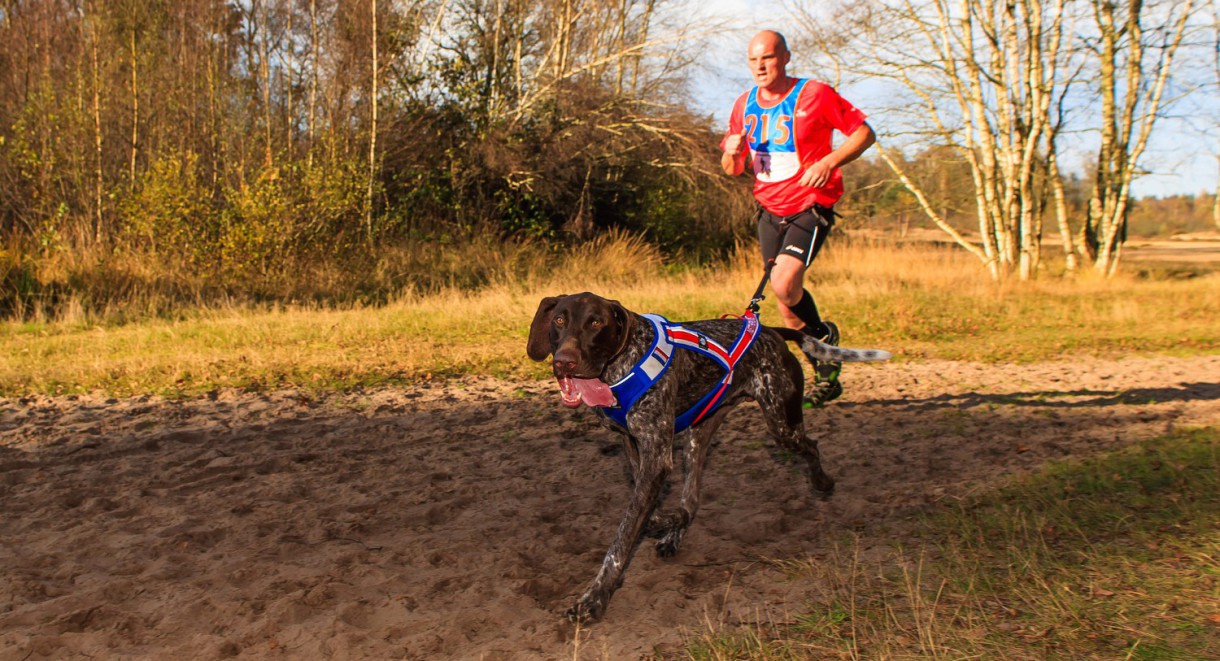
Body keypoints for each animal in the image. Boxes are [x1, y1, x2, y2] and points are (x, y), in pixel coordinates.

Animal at [522, 291, 888, 621]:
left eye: (596, 322)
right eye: (559, 321)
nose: (564, 361)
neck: (621, 366)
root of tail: (769, 330)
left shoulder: (656, 455)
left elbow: (622, 538)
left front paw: (594, 598)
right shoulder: (633, 443)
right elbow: (644, 507)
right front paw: (661, 521)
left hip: (782, 423)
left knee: (811, 445)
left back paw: (822, 481)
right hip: (700, 433)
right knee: (692, 498)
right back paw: (676, 527)